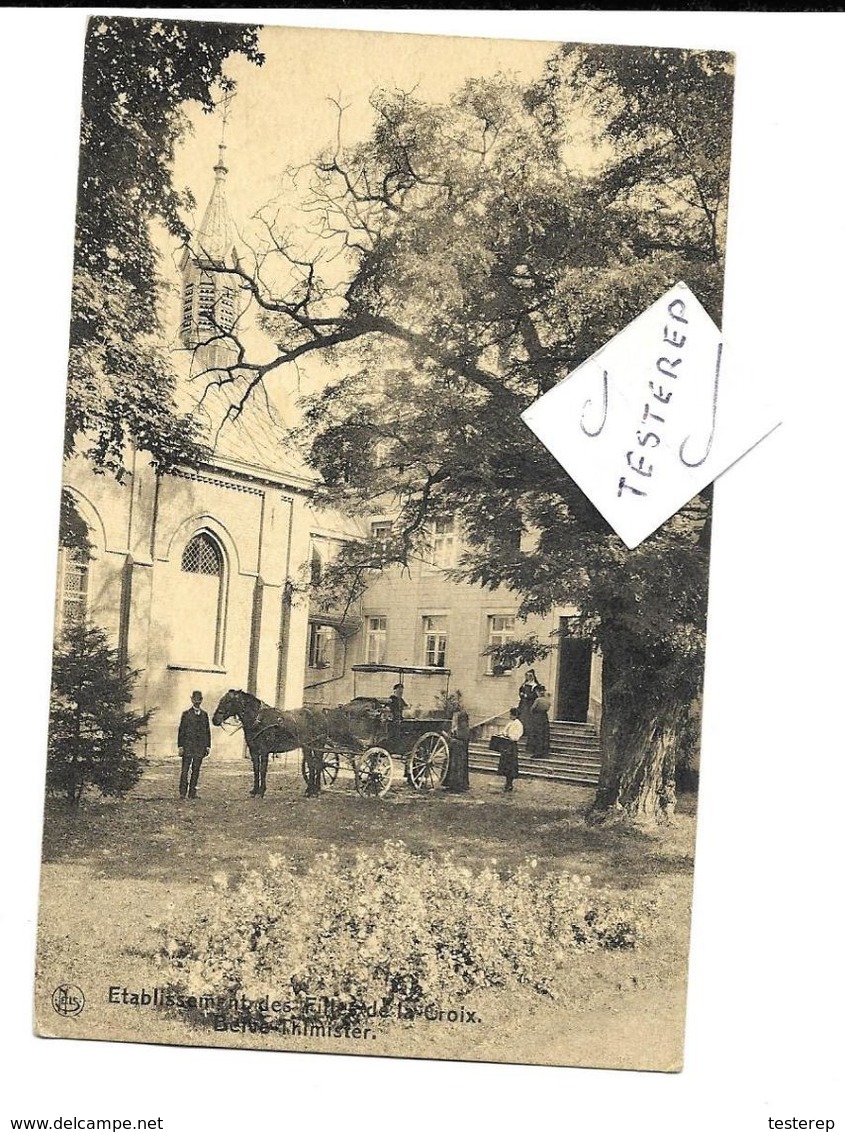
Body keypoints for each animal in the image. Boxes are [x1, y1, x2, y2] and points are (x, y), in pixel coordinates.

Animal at [210, 688, 387, 796]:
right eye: (221, 700)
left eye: (228, 702)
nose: (215, 720)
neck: (258, 720)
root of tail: (323, 713)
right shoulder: (254, 751)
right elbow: (256, 770)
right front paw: (254, 790)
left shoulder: (265, 751)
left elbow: (263, 770)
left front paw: (261, 791)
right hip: (307, 746)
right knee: (314, 764)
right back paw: (310, 790)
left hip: (318, 744)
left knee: (317, 764)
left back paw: (315, 790)